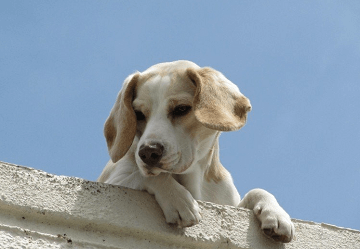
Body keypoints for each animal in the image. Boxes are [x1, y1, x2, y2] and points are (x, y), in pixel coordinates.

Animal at [97, 60, 294, 243]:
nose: (147, 152)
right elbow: (146, 175)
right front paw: (178, 200)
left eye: (181, 109)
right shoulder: (114, 180)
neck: (195, 179)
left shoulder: (228, 202)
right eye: (138, 114)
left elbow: (257, 190)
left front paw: (275, 213)